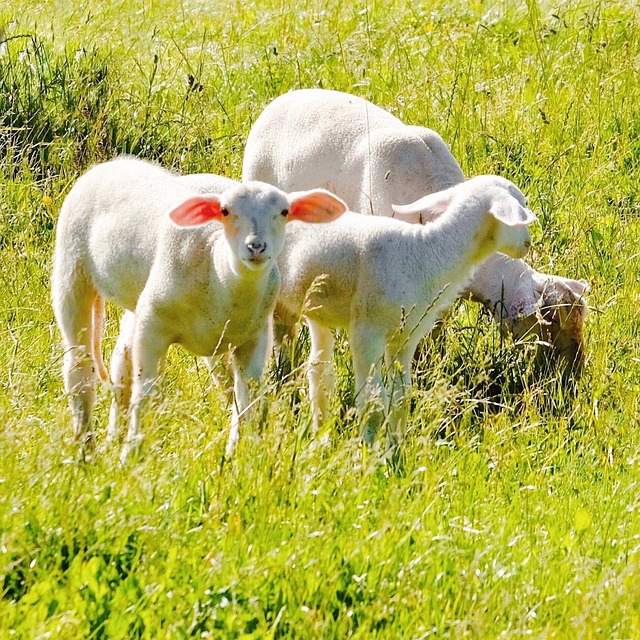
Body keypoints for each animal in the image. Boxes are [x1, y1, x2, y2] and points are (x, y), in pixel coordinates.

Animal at [52, 158, 348, 462]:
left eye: (284, 211)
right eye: (225, 211)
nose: (256, 246)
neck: (218, 271)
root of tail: (114, 163)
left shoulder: (253, 339)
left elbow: (246, 398)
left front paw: (238, 454)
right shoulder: (153, 324)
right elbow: (145, 392)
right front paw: (131, 456)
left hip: (136, 297)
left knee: (121, 358)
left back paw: (112, 435)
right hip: (72, 270)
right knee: (79, 368)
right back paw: (85, 448)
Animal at [278, 176, 536, 456]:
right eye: (521, 206)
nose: (528, 243)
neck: (426, 253)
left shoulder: (406, 335)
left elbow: (401, 396)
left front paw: (395, 449)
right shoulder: (367, 330)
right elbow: (373, 399)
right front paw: (370, 455)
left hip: (318, 310)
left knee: (319, 371)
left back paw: (319, 436)